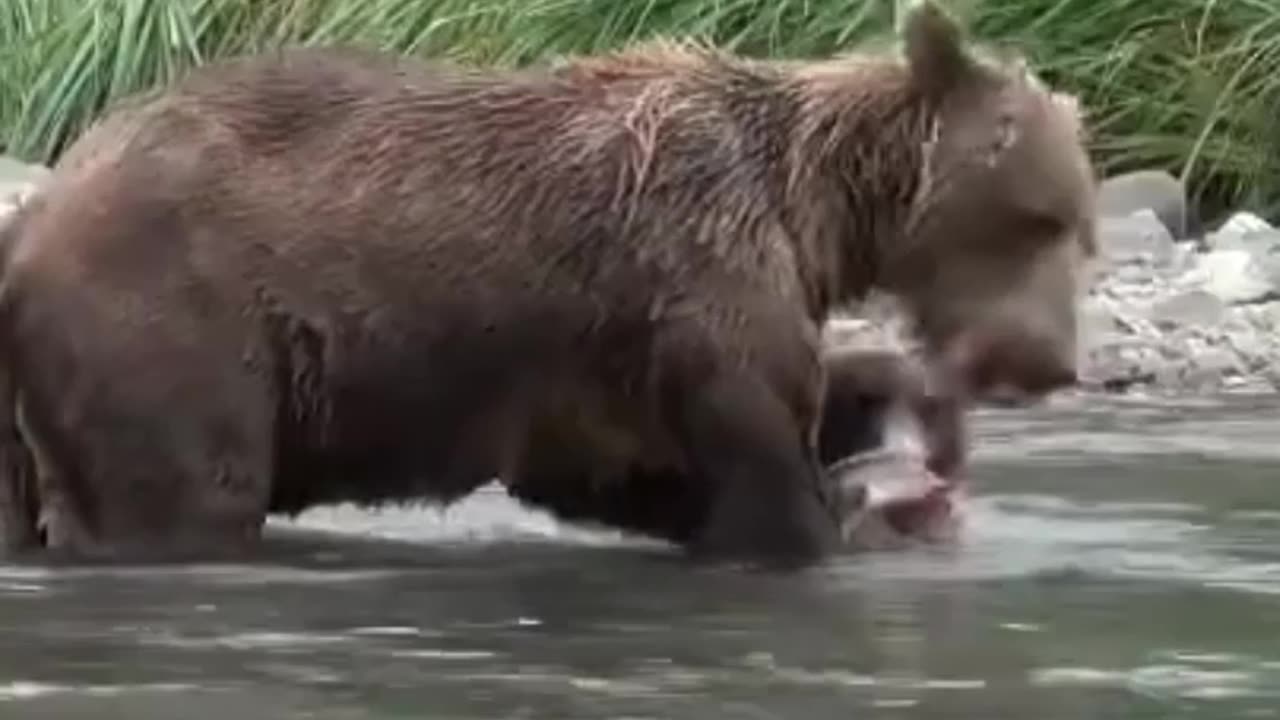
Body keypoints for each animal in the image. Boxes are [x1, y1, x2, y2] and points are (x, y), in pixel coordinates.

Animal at [0, 0, 1100, 568]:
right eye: (1039, 218)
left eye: (1081, 233)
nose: (1046, 364)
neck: (815, 207)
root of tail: (38, 212)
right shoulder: (698, 263)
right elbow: (755, 462)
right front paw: (847, 511)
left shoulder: (599, 351)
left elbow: (625, 470)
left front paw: (898, 410)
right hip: (171, 318)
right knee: (181, 494)